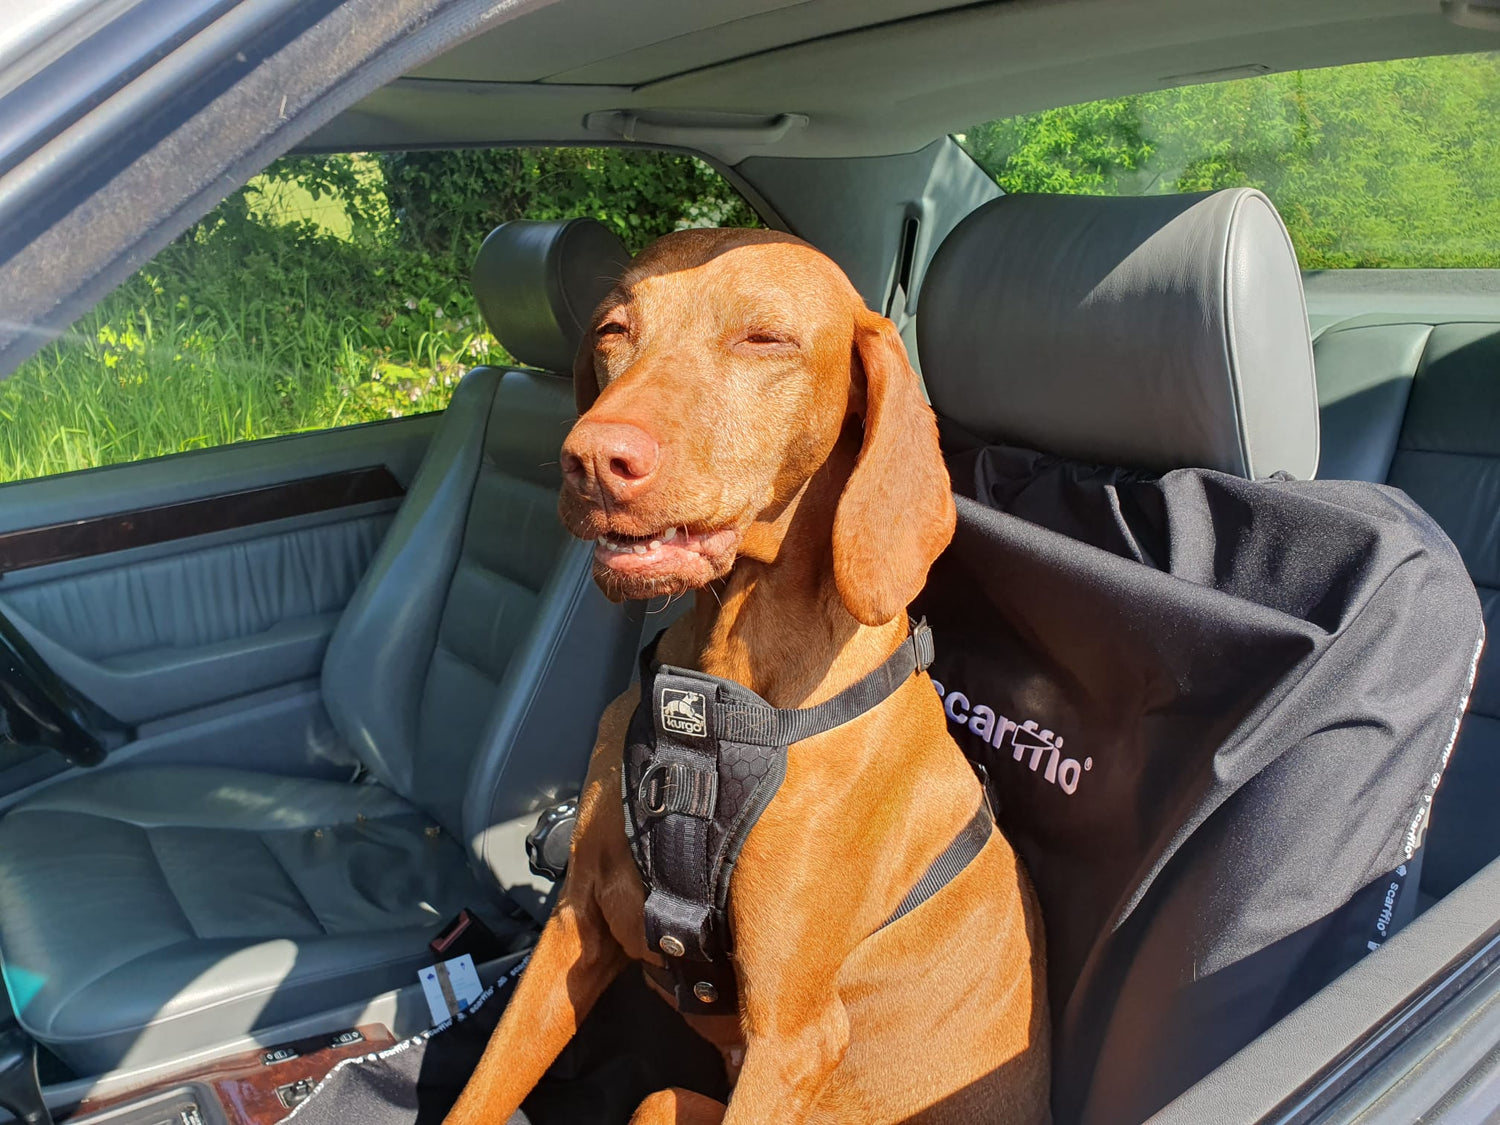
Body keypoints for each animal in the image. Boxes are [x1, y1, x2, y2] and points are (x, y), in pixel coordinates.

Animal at [447, 231, 1056, 1125]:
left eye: (765, 339)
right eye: (614, 330)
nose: (591, 459)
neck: (720, 687)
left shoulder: (791, 1039)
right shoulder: (577, 921)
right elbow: (481, 1090)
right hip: (664, 1098)